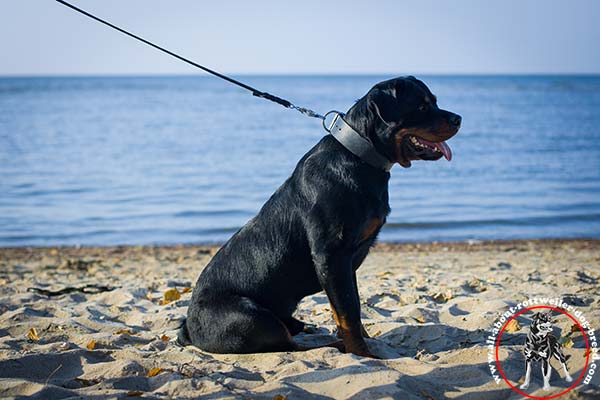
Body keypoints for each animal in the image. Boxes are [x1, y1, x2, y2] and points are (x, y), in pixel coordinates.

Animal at [178, 76, 460, 356]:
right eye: (421, 107)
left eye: (434, 101)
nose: (458, 118)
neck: (360, 156)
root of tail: (188, 329)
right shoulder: (331, 255)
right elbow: (348, 313)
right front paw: (362, 353)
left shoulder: (346, 263)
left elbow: (351, 306)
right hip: (251, 316)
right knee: (289, 345)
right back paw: (329, 344)